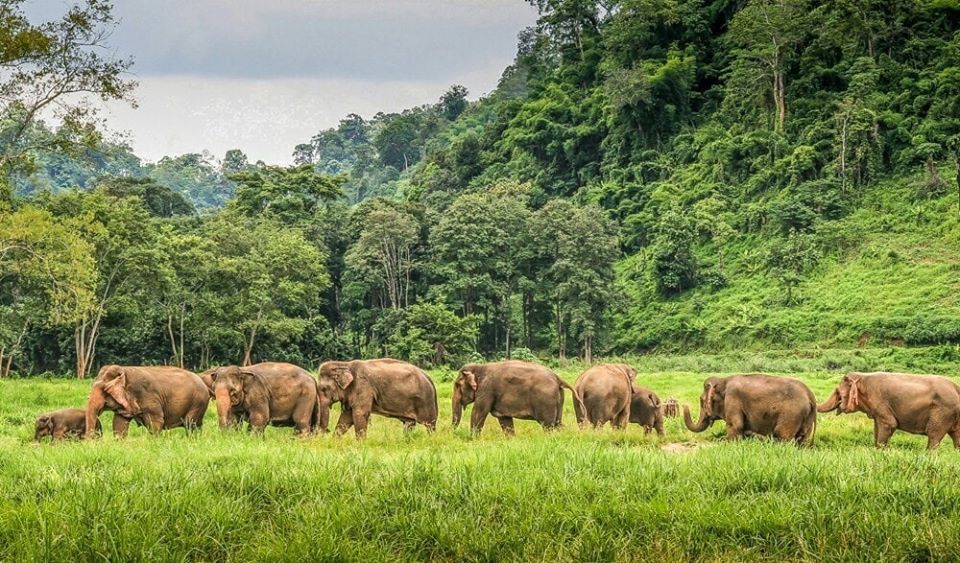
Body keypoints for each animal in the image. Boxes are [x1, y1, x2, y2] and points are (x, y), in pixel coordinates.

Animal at [452, 362, 584, 436]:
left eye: (457, 385)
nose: (453, 433)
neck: (479, 367)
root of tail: (557, 378)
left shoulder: (486, 389)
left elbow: (478, 413)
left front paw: (472, 439)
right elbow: (505, 420)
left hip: (546, 401)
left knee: (548, 425)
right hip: (559, 399)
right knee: (558, 423)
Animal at [684, 374, 816, 446]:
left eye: (701, 400)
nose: (685, 406)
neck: (723, 380)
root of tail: (810, 395)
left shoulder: (733, 399)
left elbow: (735, 425)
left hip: (791, 414)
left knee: (782, 434)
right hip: (807, 417)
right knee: (802, 438)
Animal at [812, 372, 960, 452]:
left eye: (838, 392)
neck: (862, 376)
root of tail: (956, 388)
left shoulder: (881, 403)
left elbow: (890, 424)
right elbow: (877, 428)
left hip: (943, 411)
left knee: (934, 435)